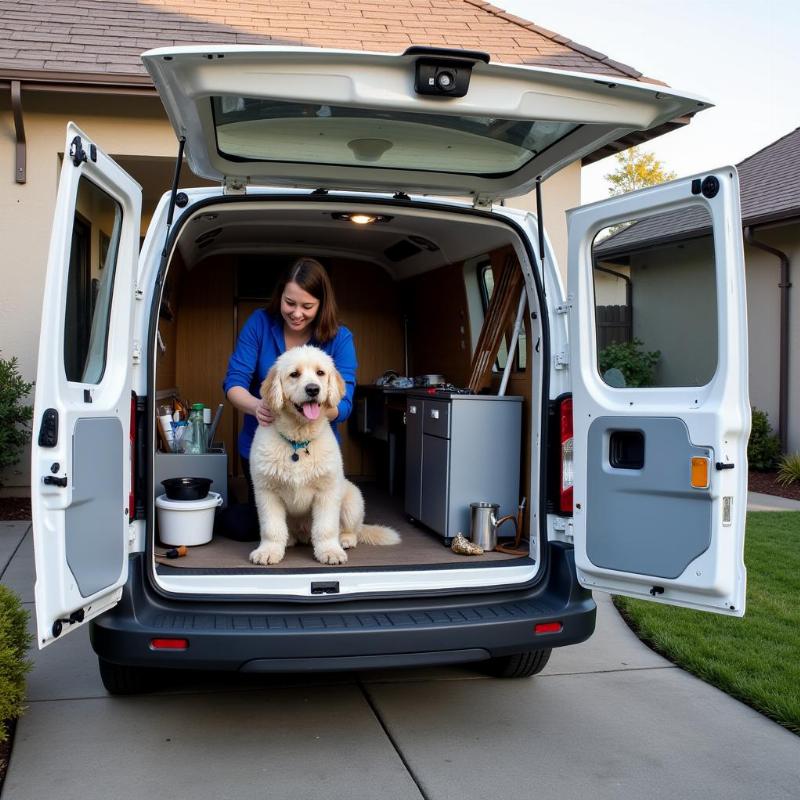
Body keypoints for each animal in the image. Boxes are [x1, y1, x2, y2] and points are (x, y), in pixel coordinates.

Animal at [250, 346, 400, 564]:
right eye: (294, 374)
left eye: (320, 373)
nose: (313, 389)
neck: (298, 441)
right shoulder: (267, 492)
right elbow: (272, 528)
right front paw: (268, 551)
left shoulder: (327, 491)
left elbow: (326, 528)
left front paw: (330, 551)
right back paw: (289, 540)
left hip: (352, 499)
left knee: (351, 529)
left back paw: (345, 539)